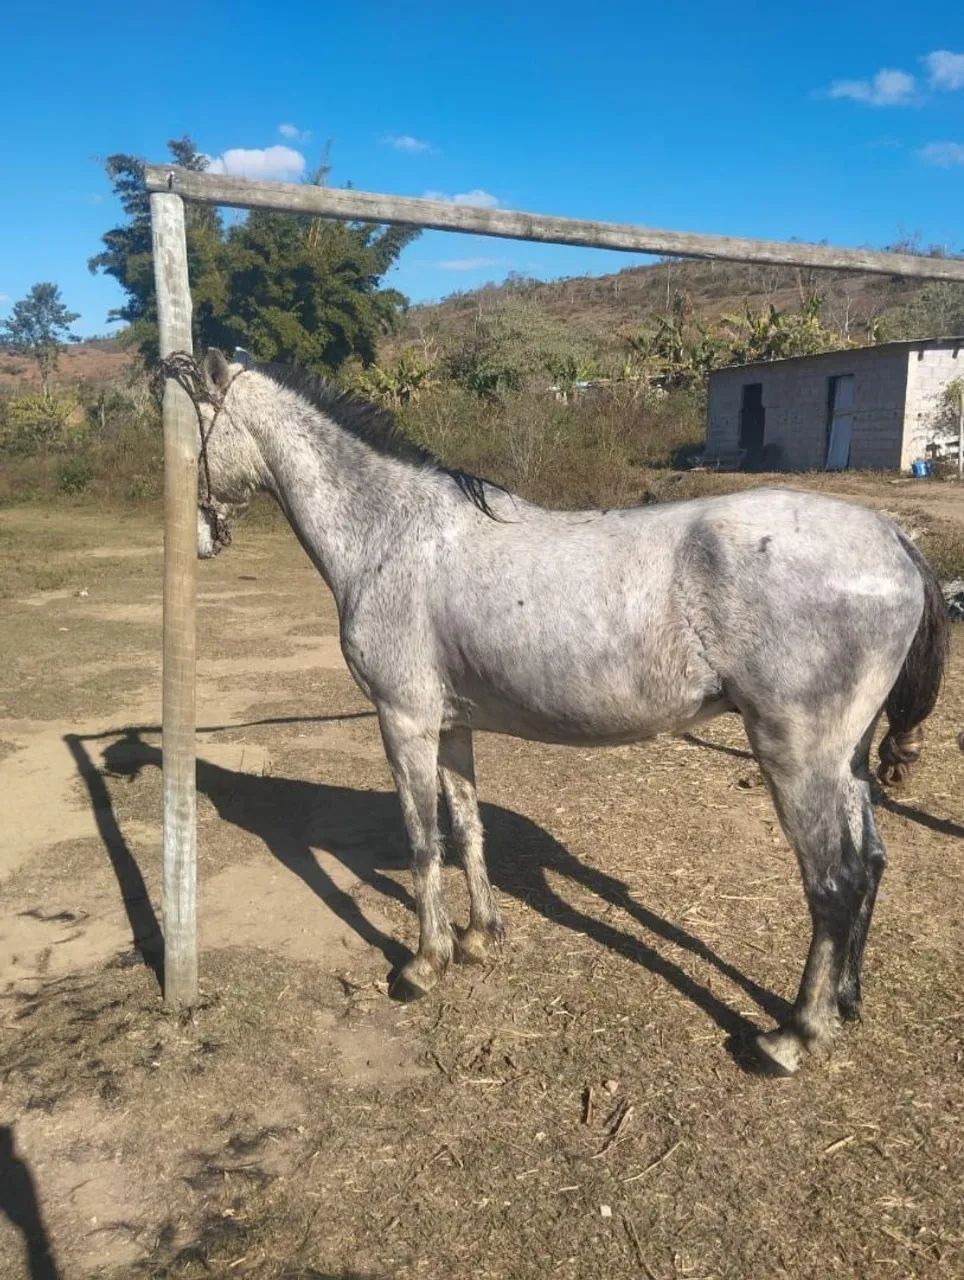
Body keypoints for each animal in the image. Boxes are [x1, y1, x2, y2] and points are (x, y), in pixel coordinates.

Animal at [169, 348, 948, 1076]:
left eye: (190, 434)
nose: (198, 539)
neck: (393, 534)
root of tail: (893, 539)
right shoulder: (450, 726)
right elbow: (467, 829)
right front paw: (480, 938)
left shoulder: (403, 721)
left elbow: (422, 841)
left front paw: (425, 964)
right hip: (845, 758)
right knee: (872, 863)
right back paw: (846, 1001)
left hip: (797, 756)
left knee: (835, 883)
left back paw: (794, 1036)